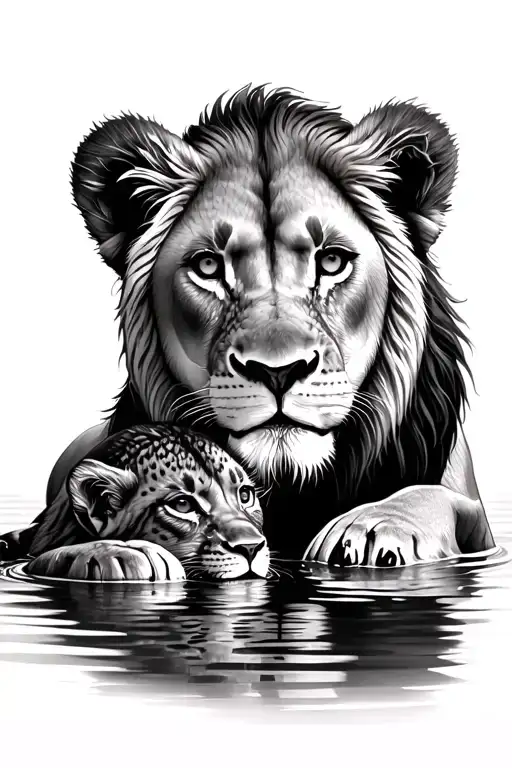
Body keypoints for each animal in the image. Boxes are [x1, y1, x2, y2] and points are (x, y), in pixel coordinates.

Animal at [24, 86, 495, 568]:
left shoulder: (473, 512)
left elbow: (436, 497)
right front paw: (111, 552)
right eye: (208, 266)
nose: (278, 371)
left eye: (331, 261)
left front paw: (372, 527)